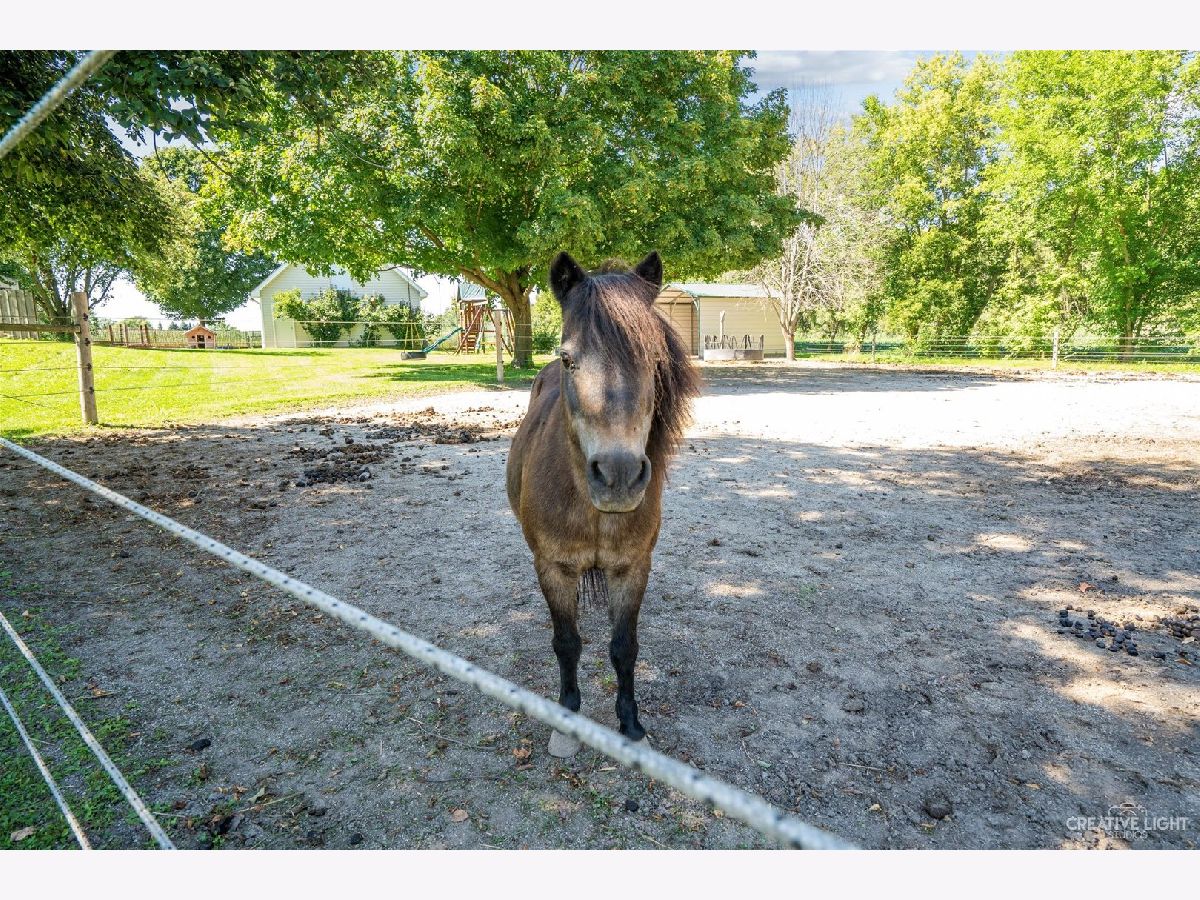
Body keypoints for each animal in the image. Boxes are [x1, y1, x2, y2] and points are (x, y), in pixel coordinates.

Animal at [506, 250, 699, 756]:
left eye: (655, 359)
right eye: (568, 358)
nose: (618, 477)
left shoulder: (631, 568)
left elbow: (623, 647)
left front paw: (630, 723)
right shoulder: (553, 568)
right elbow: (567, 643)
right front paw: (566, 719)